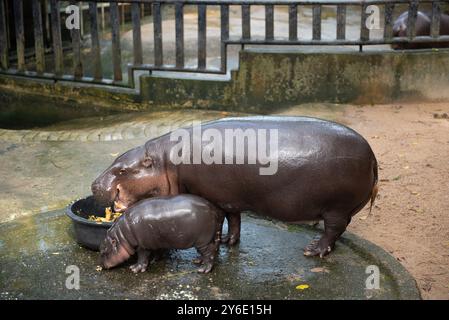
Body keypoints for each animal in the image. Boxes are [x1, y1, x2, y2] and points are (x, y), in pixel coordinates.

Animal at [92, 116, 378, 256]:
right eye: (116, 160)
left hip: (336, 208)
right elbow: (235, 219)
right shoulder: (229, 198)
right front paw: (230, 242)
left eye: (122, 169)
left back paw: (314, 251)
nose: (94, 184)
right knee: (338, 232)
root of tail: (373, 156)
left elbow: (220, 221)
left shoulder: (213, 198)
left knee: (333, 229)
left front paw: (218, 242)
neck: (165, 162)